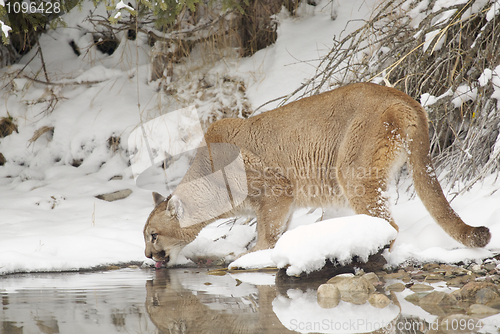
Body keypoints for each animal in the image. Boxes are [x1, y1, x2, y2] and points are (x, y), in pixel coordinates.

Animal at [143, 82, 490, 268]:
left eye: (153, 235)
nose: (146, 255)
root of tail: (405, 98)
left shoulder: (277, 188)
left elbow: (266, 232)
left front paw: (251, 259)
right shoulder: (284, 202)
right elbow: (277, 230)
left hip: (352, 170)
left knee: (388, 224)